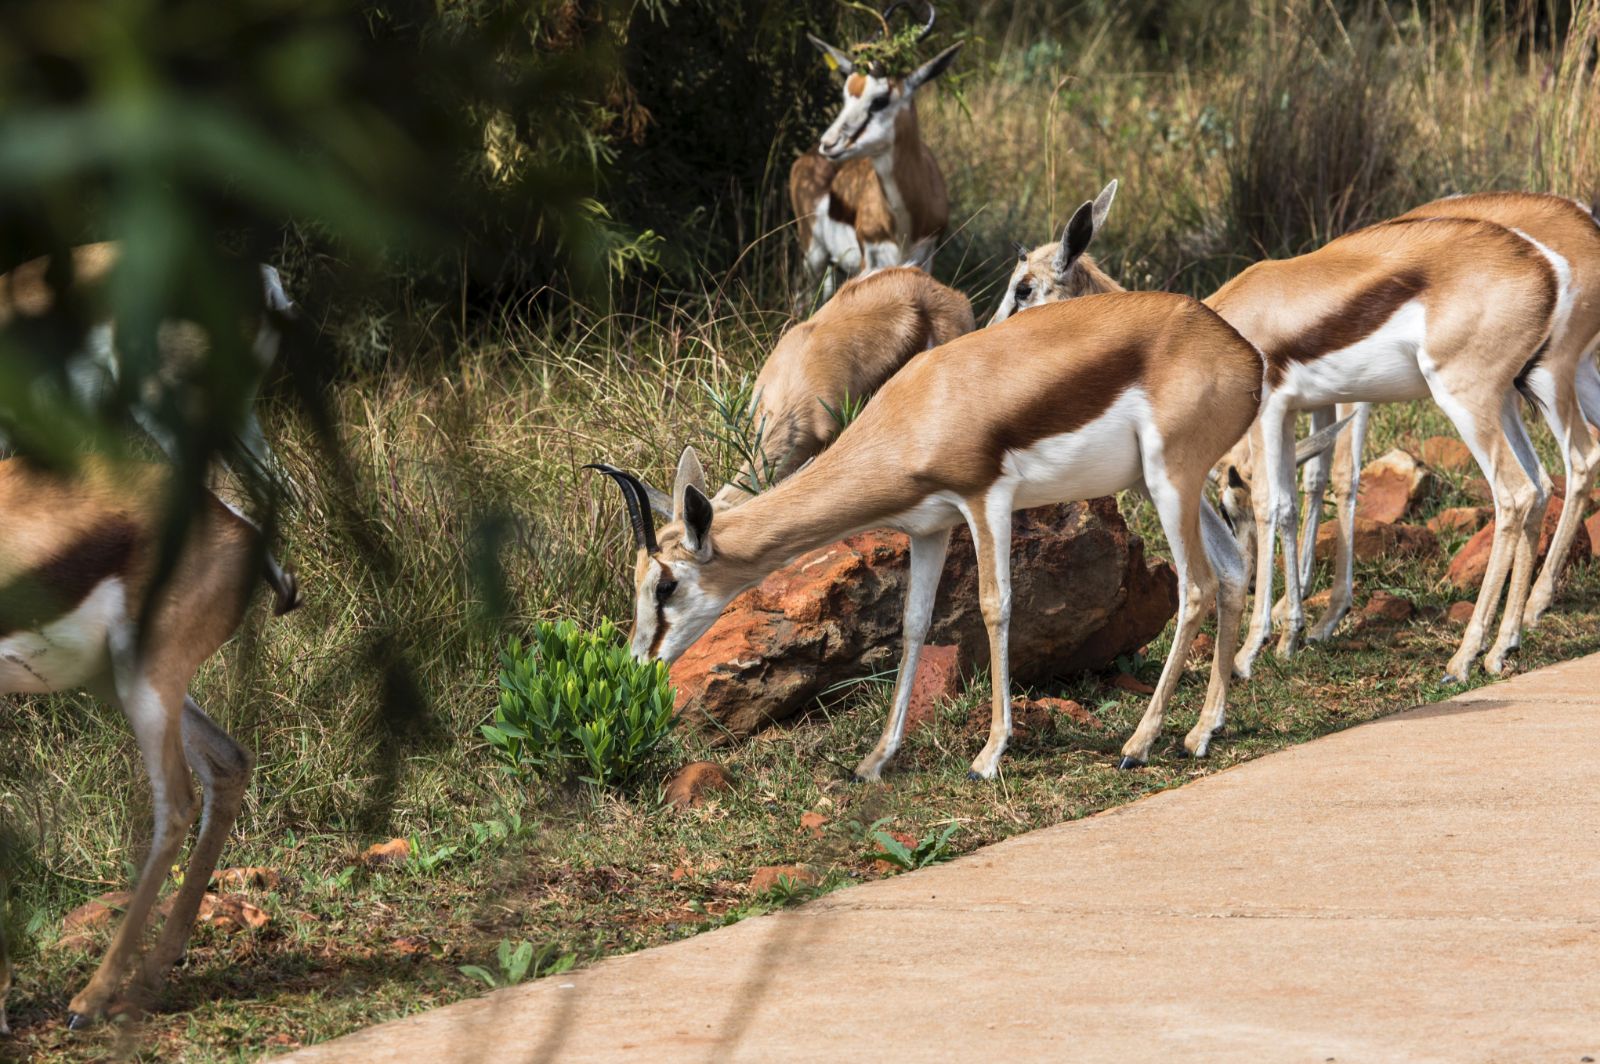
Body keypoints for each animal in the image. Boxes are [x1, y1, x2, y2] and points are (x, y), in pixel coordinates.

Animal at [0, 455, 297, 1033]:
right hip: (114, 681)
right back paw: (153, 973)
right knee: (229, 763)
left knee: (178, 805)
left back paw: (93, 999)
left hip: (146, 684)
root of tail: (237, 524)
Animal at [591, 289, 1262, 781]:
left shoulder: (985, 499)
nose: (638, 660)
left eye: (665, 585)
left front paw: (988, 756)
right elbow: (913, 625)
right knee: (1231, 571)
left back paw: (1138, 744)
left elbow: (995, 607)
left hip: (1171, 478)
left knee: (1197, 587)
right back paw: (1202, 732)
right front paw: (876, 759)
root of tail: (1243, 352)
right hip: (1164, 484)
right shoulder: (931, 528)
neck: (917, 413)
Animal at [790, 2, 963, 308]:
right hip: (813, 254)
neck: (904, 222)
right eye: (846, 95)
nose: (829, 144)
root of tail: (805, 158)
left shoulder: (925, 257)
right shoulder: (869, 261)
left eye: (880, 99)